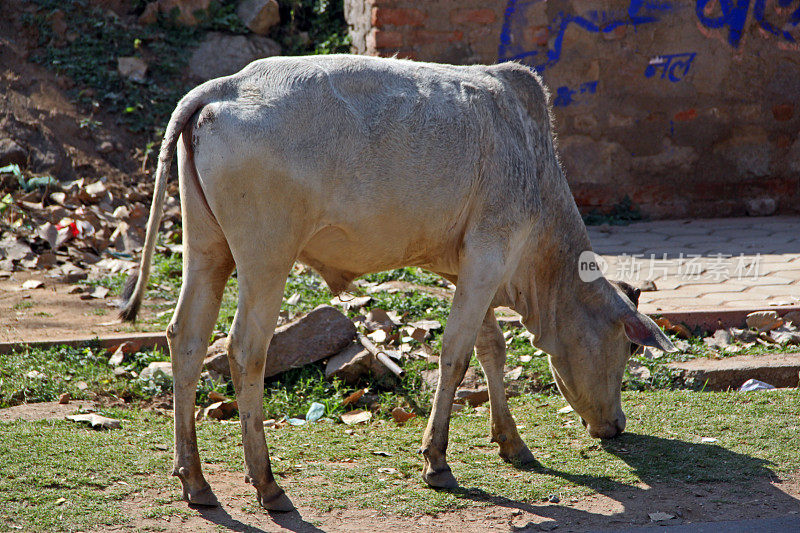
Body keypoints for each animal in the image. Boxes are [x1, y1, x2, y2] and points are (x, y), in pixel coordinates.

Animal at [120, 55, 676, 512]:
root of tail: (225, 86)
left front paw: (512, 443)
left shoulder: (468, 266)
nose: (617, 426)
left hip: (206, 250)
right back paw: (267, 484)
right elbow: (456, 354)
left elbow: (491, 348)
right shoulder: (491, 253)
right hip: (265, 257)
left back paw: (195, 482)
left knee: (187, 339)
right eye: (627, 348)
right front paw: (437, 461)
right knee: (244, 350)